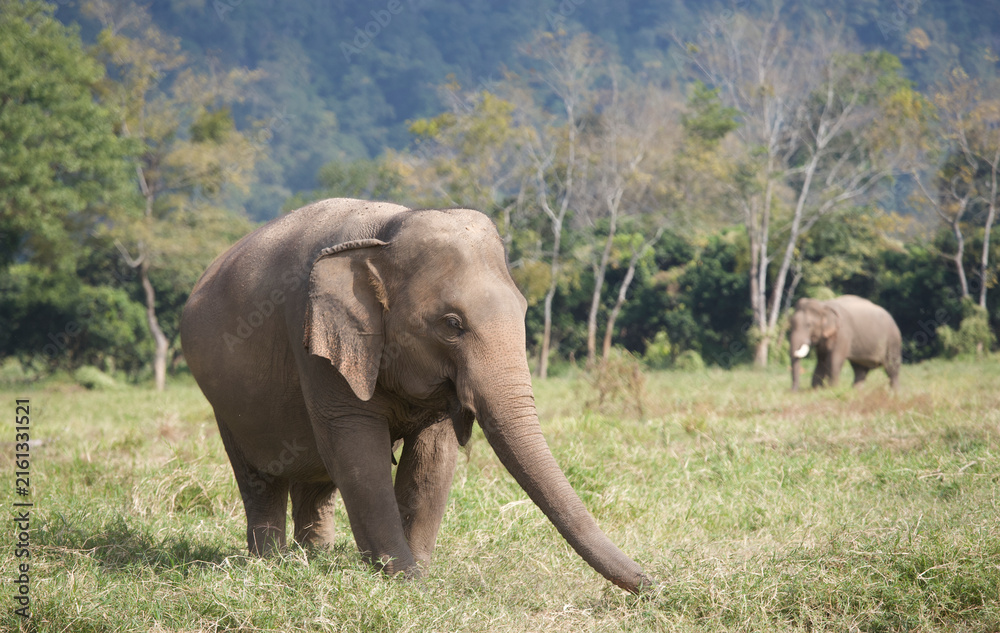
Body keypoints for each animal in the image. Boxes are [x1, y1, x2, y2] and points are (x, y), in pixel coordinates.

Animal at [180, 198, 651, 593]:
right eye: (452, 324)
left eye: (523, 310)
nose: (654, 585)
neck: (386, 231)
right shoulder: (314, 340)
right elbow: (358, 453)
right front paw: (406, 581)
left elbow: (431, 460)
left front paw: (417, 574)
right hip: (224, 403)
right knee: (259, 478)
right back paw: (271, 564)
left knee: (316, 484)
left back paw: (313, 558)